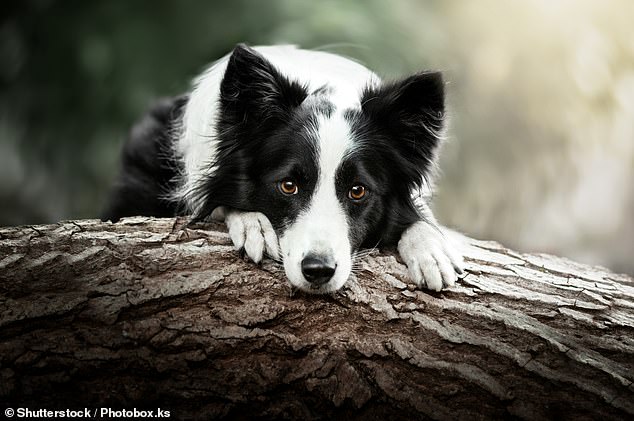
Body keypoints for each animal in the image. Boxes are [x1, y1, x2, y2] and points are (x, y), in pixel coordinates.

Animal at [102, 42, 460, 292]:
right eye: (288, 185)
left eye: (358, 191)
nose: (318, 272)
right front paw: (253, 224)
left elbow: (419, 219)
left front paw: (430, 248)